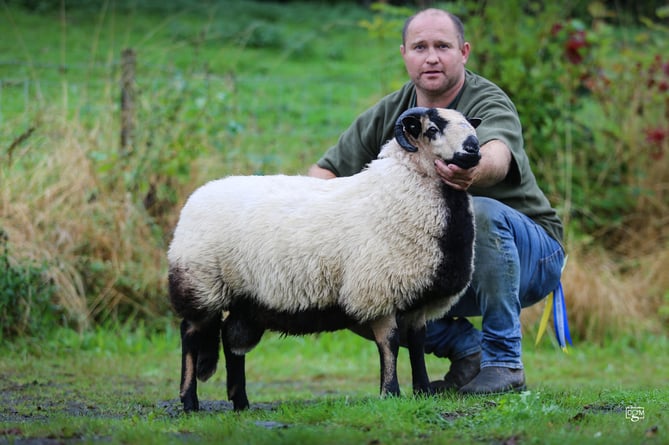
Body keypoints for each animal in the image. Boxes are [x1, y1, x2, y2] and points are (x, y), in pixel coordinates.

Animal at [167, 106, 480, 412]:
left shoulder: (418, 299)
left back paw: (241, 403)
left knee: (232, 340)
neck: (400, 191)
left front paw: (423, 390)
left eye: (469, 124)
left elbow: (416, 344)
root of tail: (196, 197)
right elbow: (389, 343)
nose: (473, 148)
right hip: (200, 283)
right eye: (432, 130)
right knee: (190, 334)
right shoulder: (376, 290)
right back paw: (190, 402)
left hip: (246, 300)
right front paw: (390, 392)